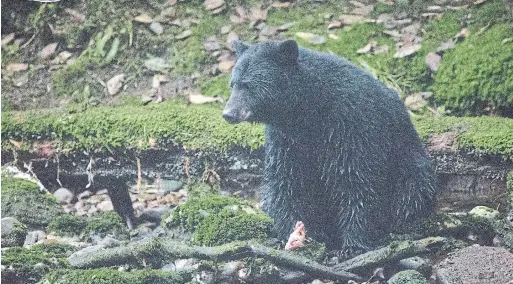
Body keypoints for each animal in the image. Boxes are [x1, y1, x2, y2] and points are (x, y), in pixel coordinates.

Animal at [222, 38, 434, 254]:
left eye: (248, 85)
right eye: (232, 84)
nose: (228, 113)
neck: (311, 109)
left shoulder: (352, 128)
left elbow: (357, 180)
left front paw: (353, 243)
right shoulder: (286, 139)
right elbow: (287, 182)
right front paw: (296, 234)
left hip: (411, 162)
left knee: (411, 191)